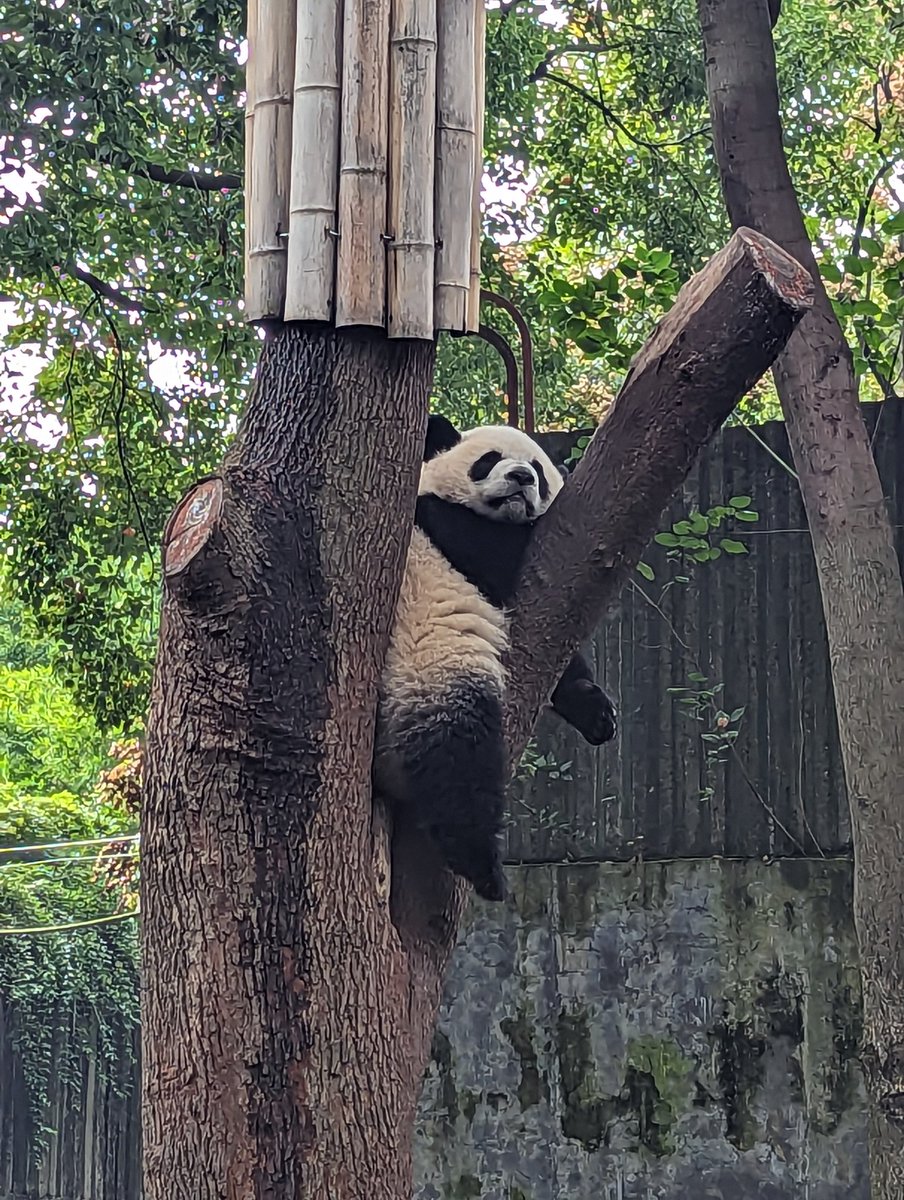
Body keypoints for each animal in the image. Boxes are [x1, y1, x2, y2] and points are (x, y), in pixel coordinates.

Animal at [373, 414, 617, 903]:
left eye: (538, 469)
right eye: (489, 460)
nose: (521, 478)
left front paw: (596, 712)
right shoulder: (450, 537)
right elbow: (493, 554)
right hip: (428, 668)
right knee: (457, 755)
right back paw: (483, 868)